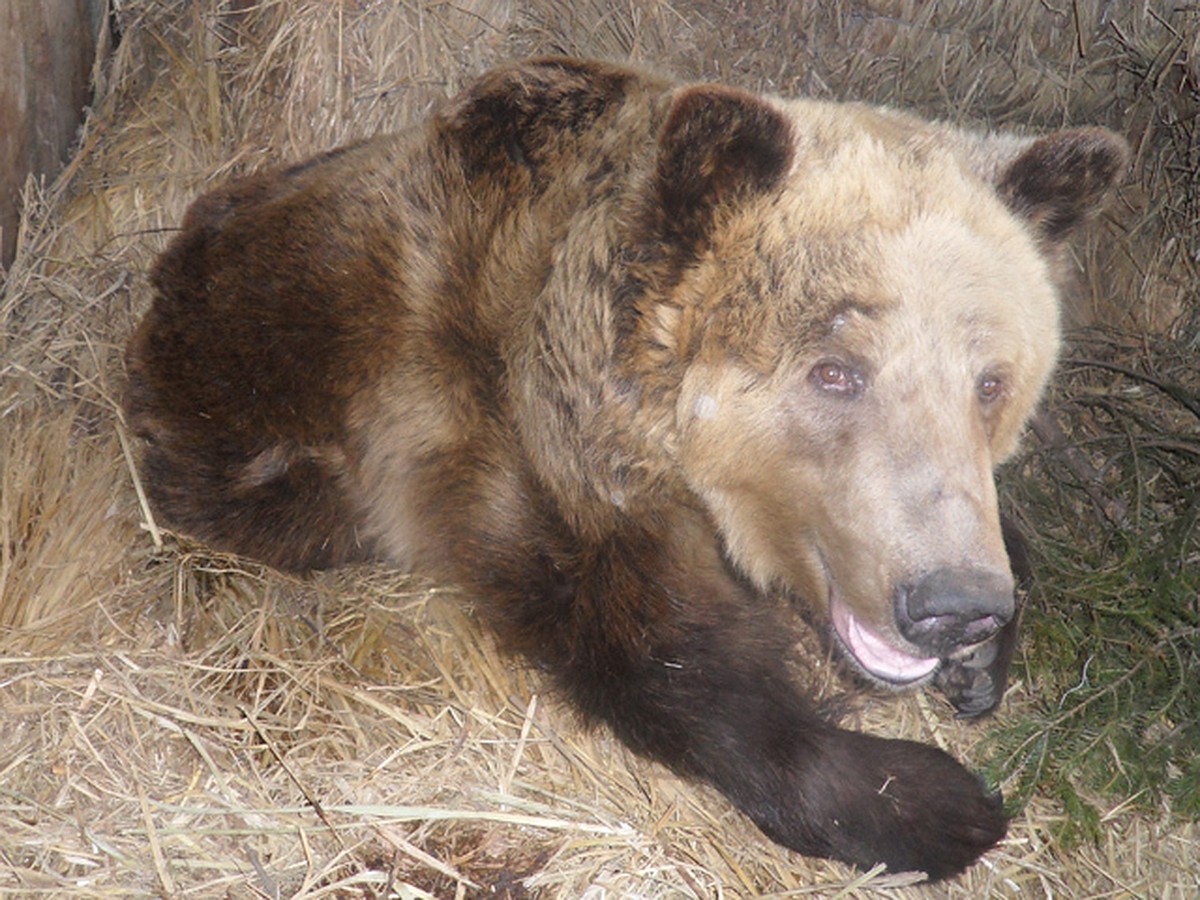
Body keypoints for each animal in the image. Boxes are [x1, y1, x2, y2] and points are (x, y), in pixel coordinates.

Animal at [126, 56, 1128, 883]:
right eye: (836, 370)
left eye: (991, 380)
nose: (954, 604)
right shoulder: (497, 441)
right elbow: (661, 656)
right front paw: (932, 803)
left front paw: (985, 660)